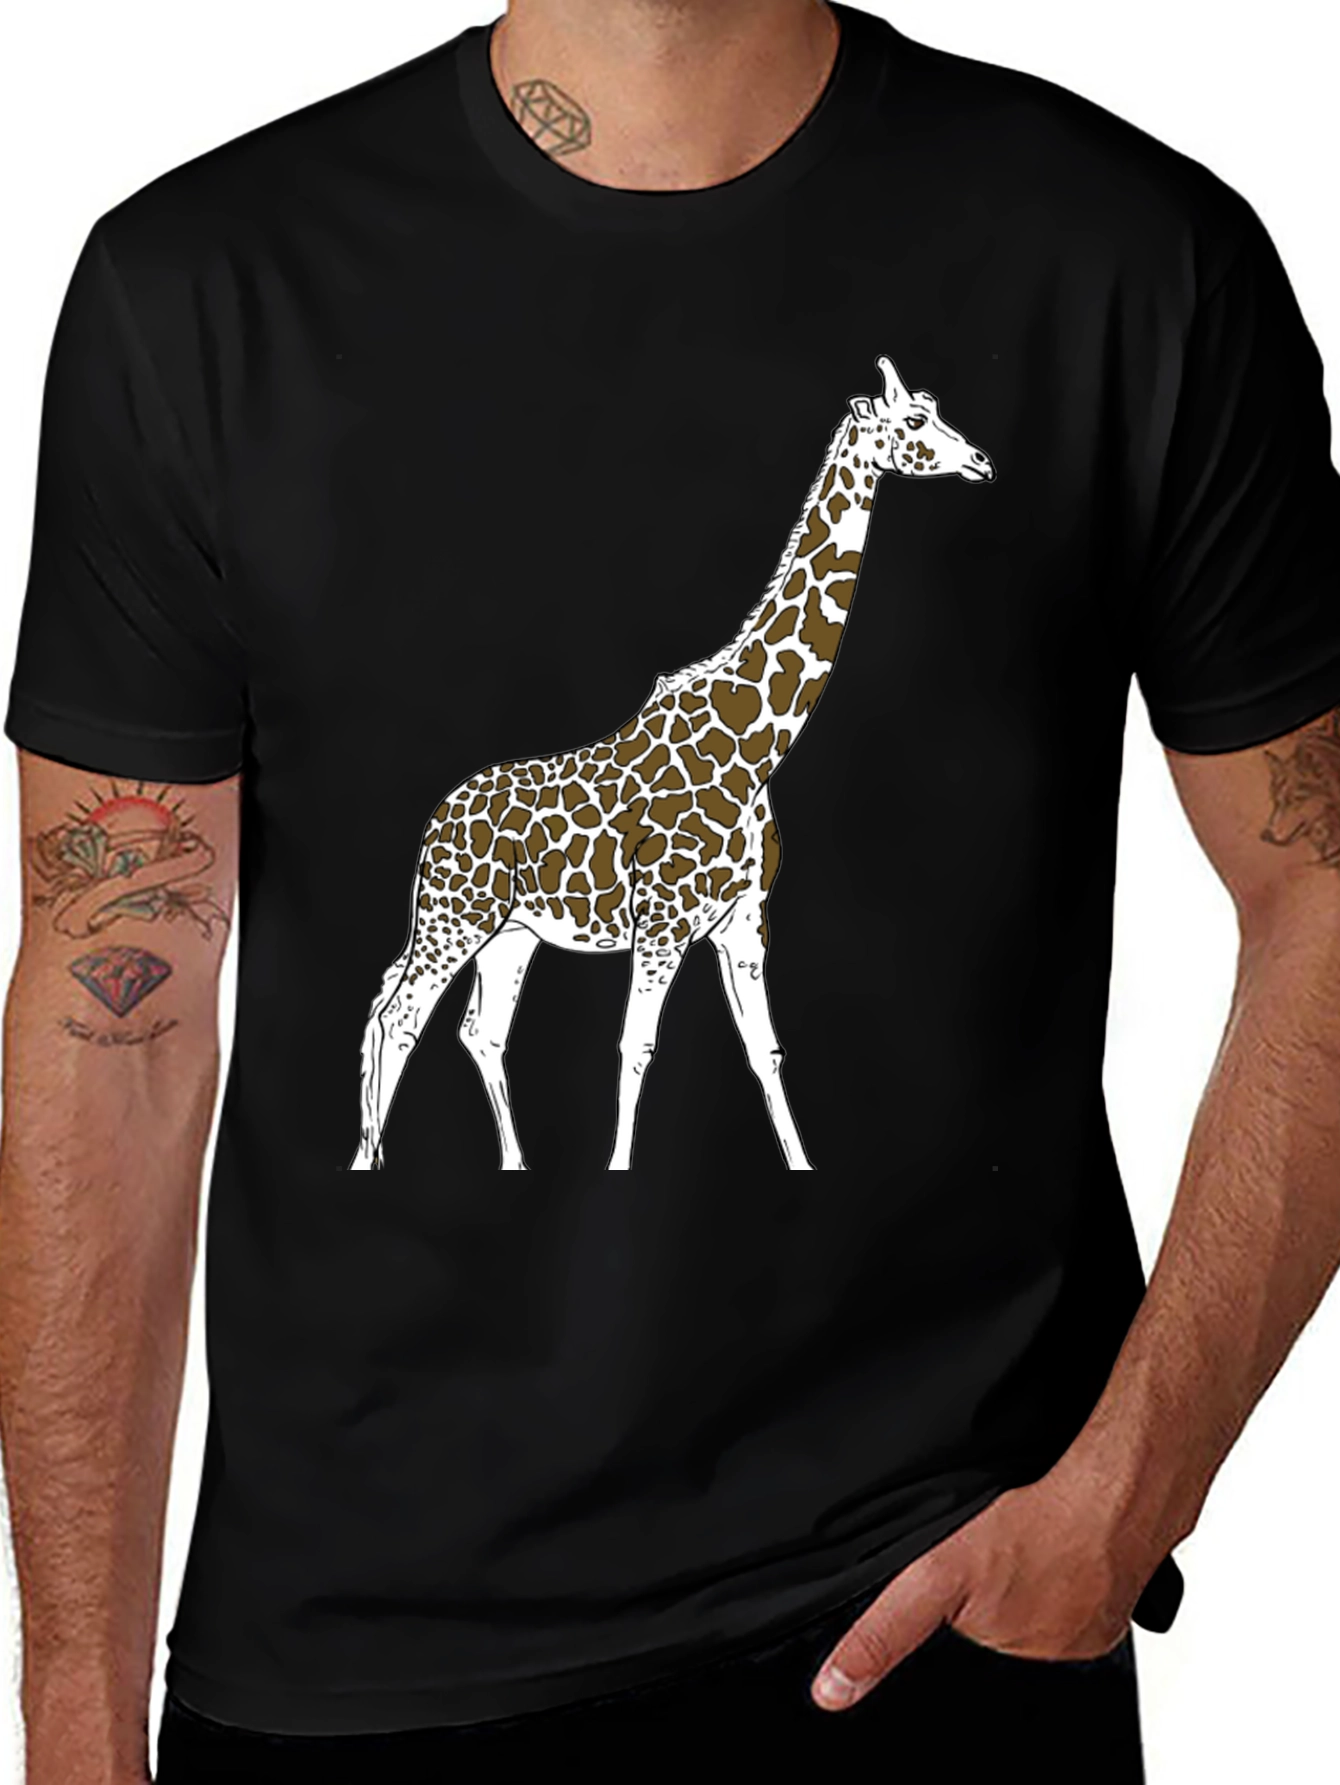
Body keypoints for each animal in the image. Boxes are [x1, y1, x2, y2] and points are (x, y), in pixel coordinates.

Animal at [351, 358, 992, 1173]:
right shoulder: (662, 921)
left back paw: (504, 1162)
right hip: (454, 916)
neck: (756, 745)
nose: (980, 461)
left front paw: (802, 1164)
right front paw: (619, 1168)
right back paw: (370, 1160)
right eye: (912, 422)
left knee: (472, 1028)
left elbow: (766, 1053)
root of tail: (435, 826)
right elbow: (637, 1047)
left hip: (509, 933)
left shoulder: (743, 919)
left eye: (936, 407)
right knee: (398, 1016)